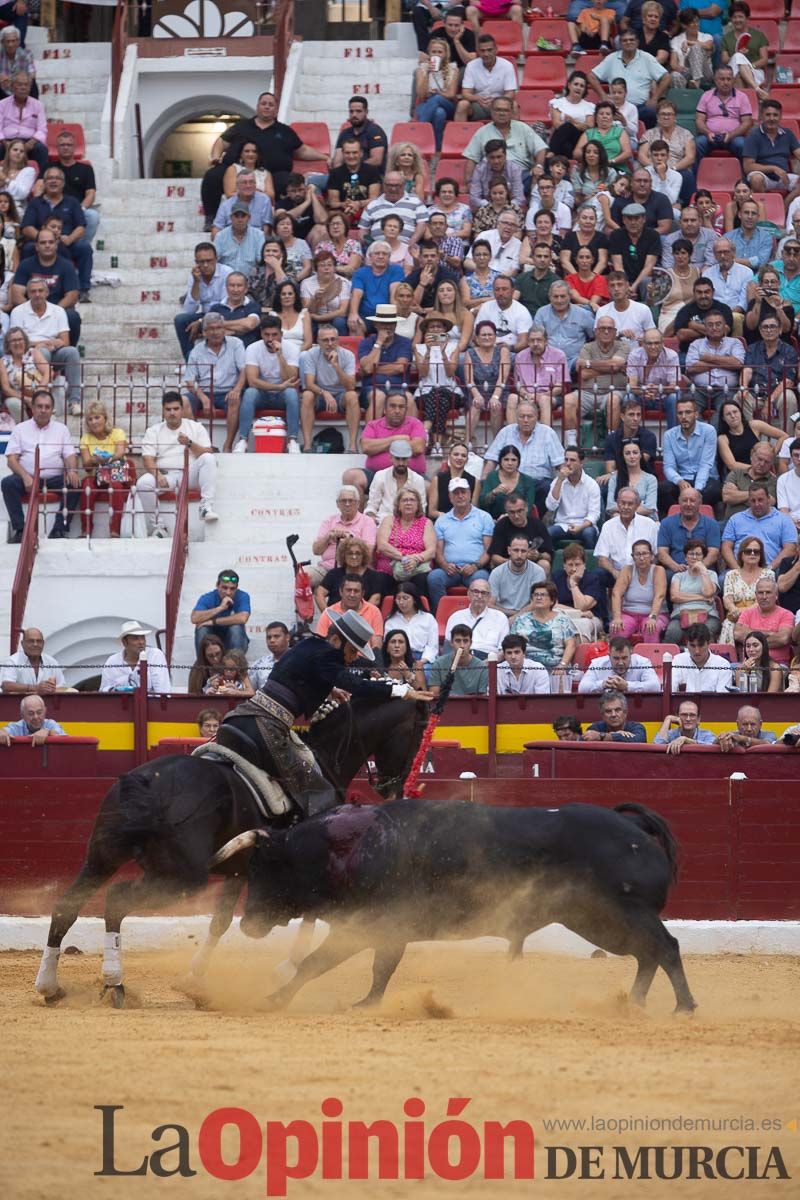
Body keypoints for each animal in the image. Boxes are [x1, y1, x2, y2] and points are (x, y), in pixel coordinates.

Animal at [34, 696, 429, 1003]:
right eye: (416, 736)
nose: (394, 786)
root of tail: (143, 782)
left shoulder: (238, 869)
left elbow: (221, 921)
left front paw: (193, 980)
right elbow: (307, 916)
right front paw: (284, 967)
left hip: (101, 855)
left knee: (67, 904)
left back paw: (50, 986)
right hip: (180, 877)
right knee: (116, 900)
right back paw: (114, 984)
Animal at [215, 796, 695, 1012]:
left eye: (262, 870)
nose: (249, 924)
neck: (351, 846)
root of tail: (633, 828)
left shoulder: (371, 925)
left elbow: (320, 963)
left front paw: (274, 1000)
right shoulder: (379, 930)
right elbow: (370, 968)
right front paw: (364, 1003)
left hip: (623, 913)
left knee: (664, 947)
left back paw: (682, 1007)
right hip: (597, 922)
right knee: (646, 954)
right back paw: (633, 1004)